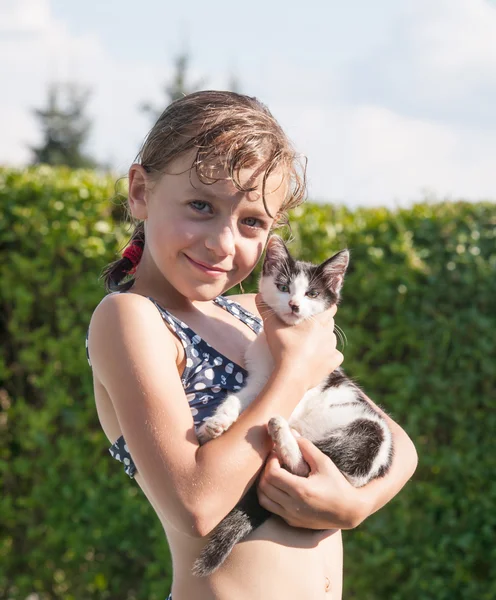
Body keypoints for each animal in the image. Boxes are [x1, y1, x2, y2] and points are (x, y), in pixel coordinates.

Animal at [193, 234, 392, 576]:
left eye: (312, 293)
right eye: (283, 286)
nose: (294, 305)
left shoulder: (305, 385)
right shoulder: (259, 379)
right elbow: (239, 398)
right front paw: (217, 423)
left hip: (370, 437)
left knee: (306, 466)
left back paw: (282, 433)